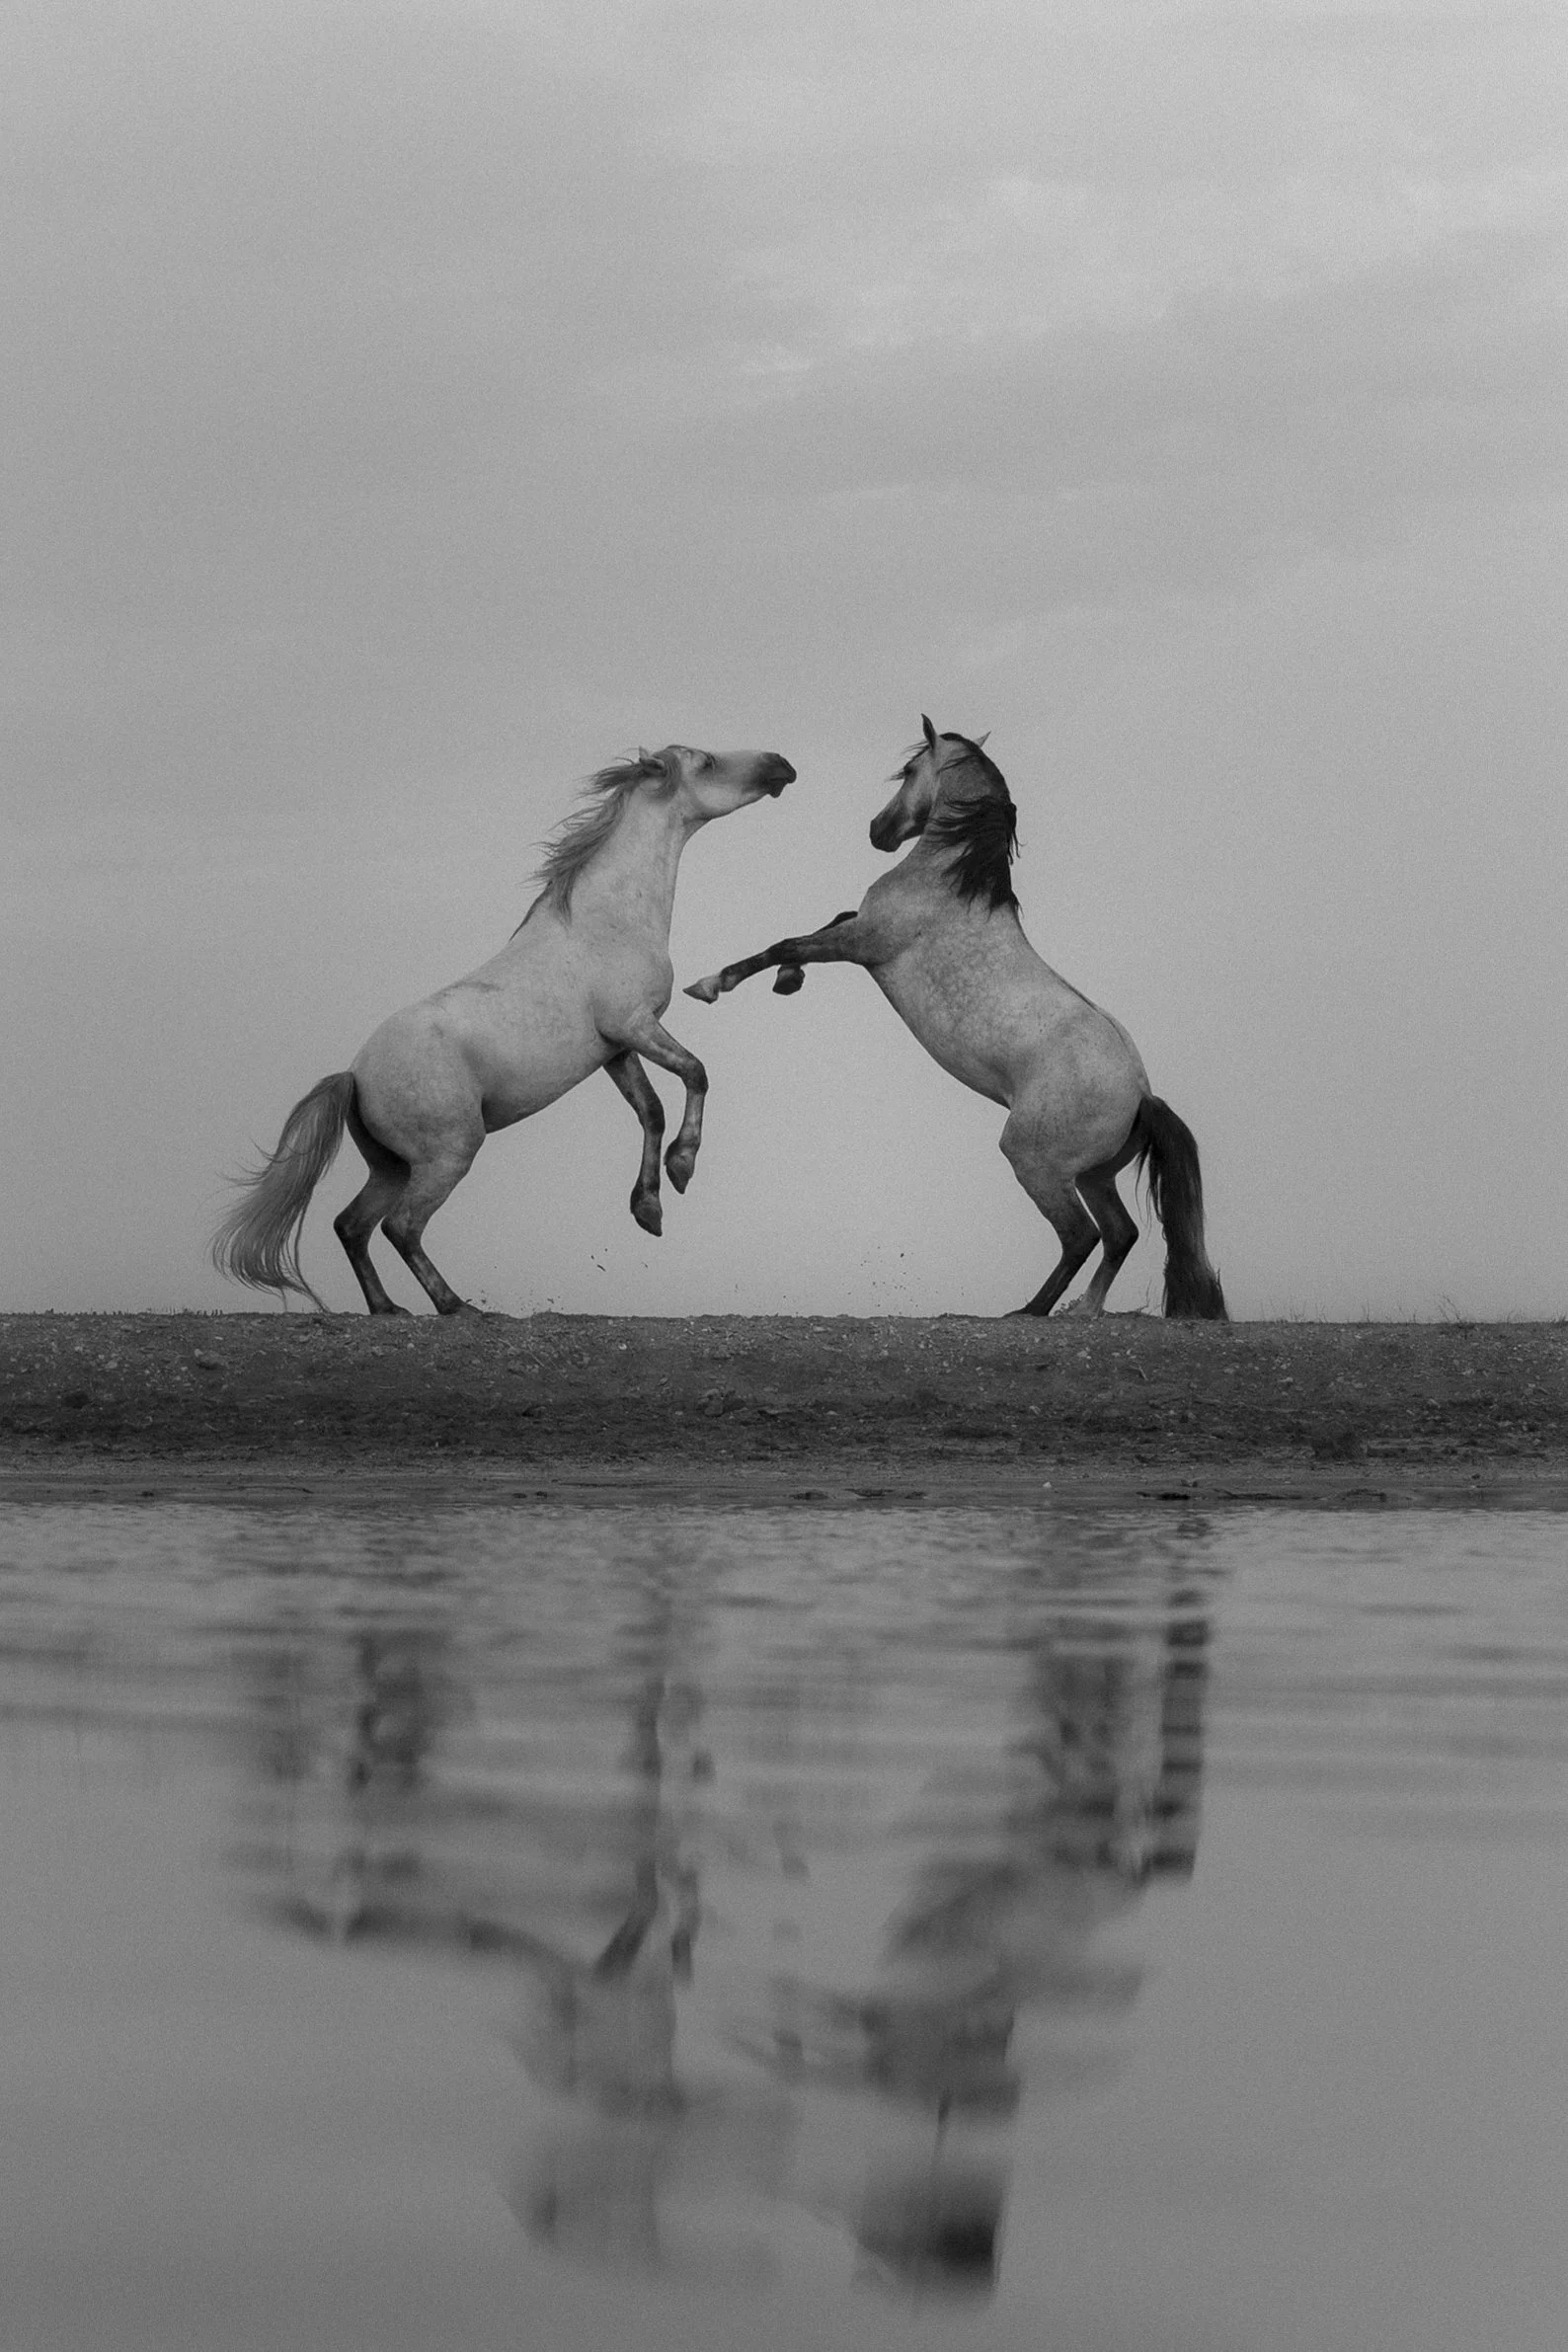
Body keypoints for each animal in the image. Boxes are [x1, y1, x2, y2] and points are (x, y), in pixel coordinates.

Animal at [213, 742, 795, 1314]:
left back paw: (388, 1308)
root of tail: (355, 1075)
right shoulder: (635, 1025)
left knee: (352, 1225)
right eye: (708, 762)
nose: (781, 765)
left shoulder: (616, 1049)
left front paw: (648, 1208)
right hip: (448, 1154)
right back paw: (457, 1306)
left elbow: (650, 1111)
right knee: (401, 1226)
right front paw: (682, 1167)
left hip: (393, 1166)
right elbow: (696, 1074)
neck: (605, 921)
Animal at [685, 719, 1225, 1319]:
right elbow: (820, 925)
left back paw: (1030, 1311)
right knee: (1119, 1234)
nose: (877, 830)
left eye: (909, 771)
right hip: (1091, 1175)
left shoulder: (864, 944)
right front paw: (786, 979)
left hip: (1035, 1162)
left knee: (1080, 1235)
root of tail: (1142, 1095)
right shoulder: (859, 933)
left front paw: (714, 983)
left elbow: (790, 940)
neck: (947, 880)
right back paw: (1084, 1310)